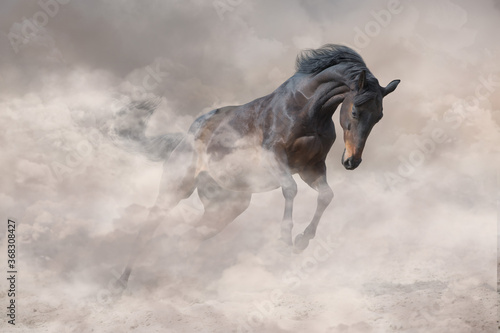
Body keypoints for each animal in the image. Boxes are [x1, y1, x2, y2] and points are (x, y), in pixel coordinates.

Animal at [115, 44, 400, 286]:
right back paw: (122, 281)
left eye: (379, 116)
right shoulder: (275, 157)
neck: (305, 110)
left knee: (189, 237)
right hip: (175, 189)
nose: (352, 161)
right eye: (354, 111)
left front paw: (301, 241)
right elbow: (290, 189)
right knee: (150, 226)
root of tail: (186, 137)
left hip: (226, 207)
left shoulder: (311, 168)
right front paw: (285, 239)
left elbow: (326, 196)